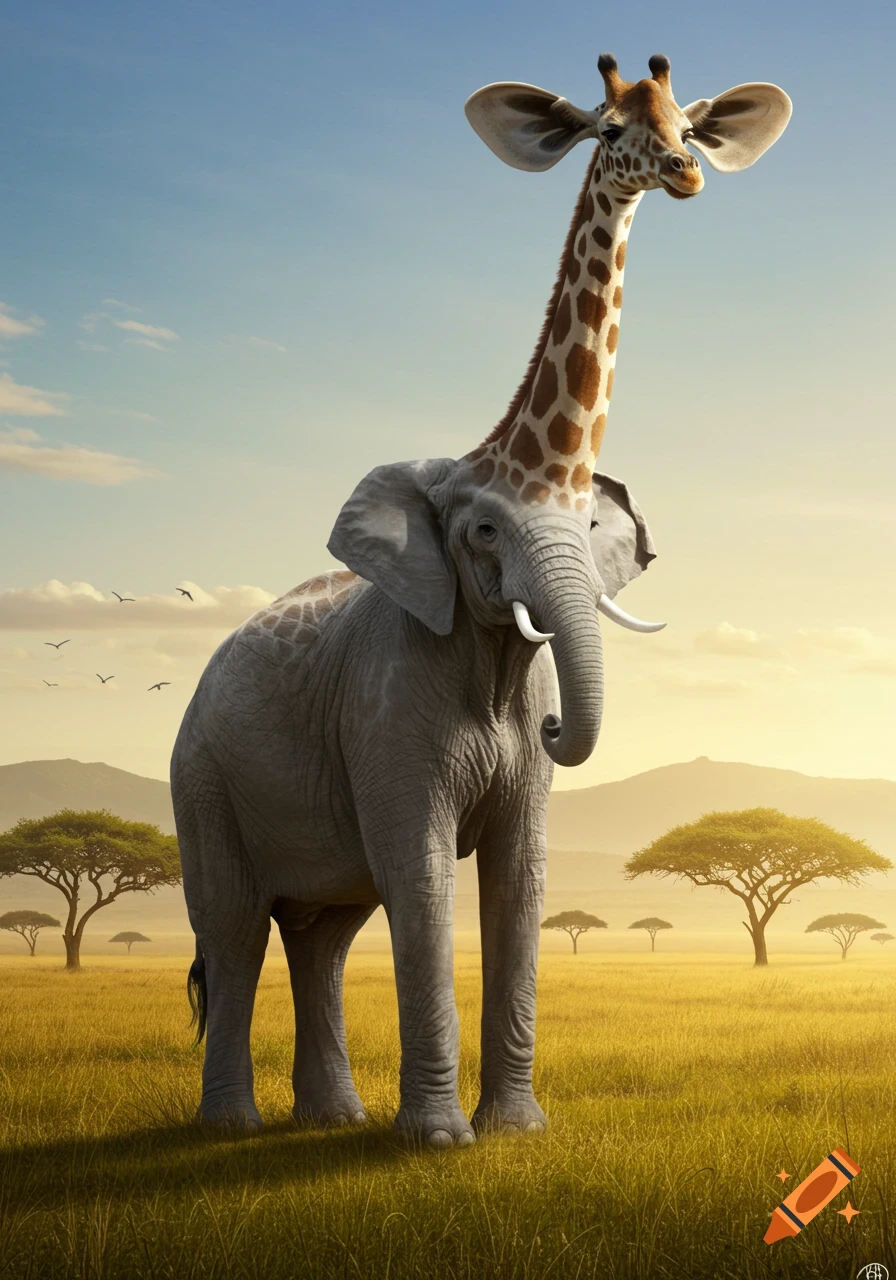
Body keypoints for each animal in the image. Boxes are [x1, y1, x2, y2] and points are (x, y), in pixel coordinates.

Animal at [171, 458, 658, 1147]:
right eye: (484, 530)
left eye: (591, 527)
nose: (554, 724)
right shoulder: (388, 703)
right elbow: (422, 874)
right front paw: (440, 1142)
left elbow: (518, 875)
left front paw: (516, 1134)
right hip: (204, 779)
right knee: (235, 928)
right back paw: (233, 1128)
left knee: (324, 942)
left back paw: (333, 1119)